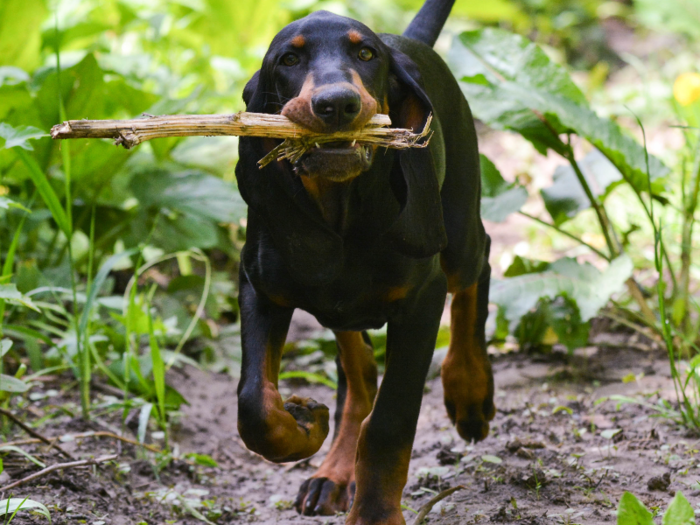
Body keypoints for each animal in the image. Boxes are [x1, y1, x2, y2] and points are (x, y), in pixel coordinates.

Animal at [234, 2, 492, 520]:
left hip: (455, 234)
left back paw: (470, 390)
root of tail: (406, 41)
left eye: (366, 54)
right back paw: (334, 472)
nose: (337, 104)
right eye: (289, 60)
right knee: (359, 372)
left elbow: (390, 420)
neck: (341, 208)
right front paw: (304, 426)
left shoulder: (421, 300)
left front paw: (374, 514)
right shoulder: (260, 287)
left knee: (479, 266)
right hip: (339, 303)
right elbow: (254, 405)